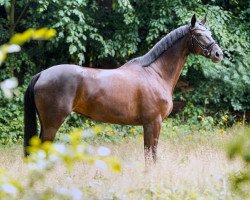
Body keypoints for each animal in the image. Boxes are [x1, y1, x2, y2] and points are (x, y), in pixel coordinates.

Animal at [23, 14, 223, 163]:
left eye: (209, 32)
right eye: (198, 34)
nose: (218, 54)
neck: (155, 73)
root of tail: (42, 74)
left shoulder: (149, 124)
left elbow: (149, 154)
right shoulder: (153, 123)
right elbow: (151, 155)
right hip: (52, 124)